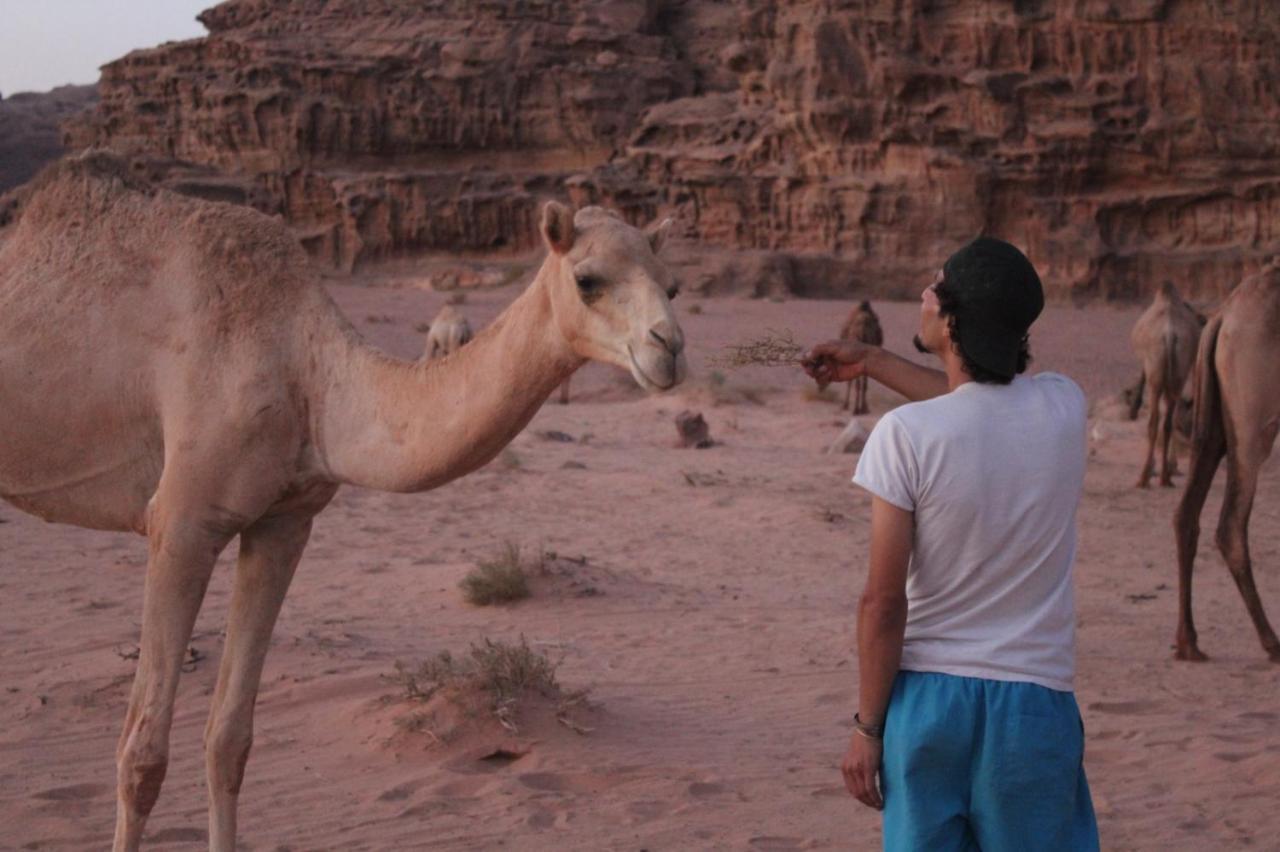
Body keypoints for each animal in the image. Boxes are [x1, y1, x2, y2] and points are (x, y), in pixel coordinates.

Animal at [0, 152, 691, 849]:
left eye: (673, 285)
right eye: (587, 279)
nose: (669, 348)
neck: (308, 374)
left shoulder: (284, 522)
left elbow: (229, 740)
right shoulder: (181, 524)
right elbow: (142, 755)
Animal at [1126, 280, 1203, 483]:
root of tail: (1169, 334)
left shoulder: (1149, 365)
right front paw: (1170, 467)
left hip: (1157, 376)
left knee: (1154, 421)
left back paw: (1144, 477)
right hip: (1177, 375)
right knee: (1169, 421)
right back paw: (1165, 477)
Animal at [1172, 262, 1280, 660]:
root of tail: (1223, 317)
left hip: (1217, 424)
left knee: (1186, 513)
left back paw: (1188, 641)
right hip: (1255, 422)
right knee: (1232, 523)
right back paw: (1271, 642)